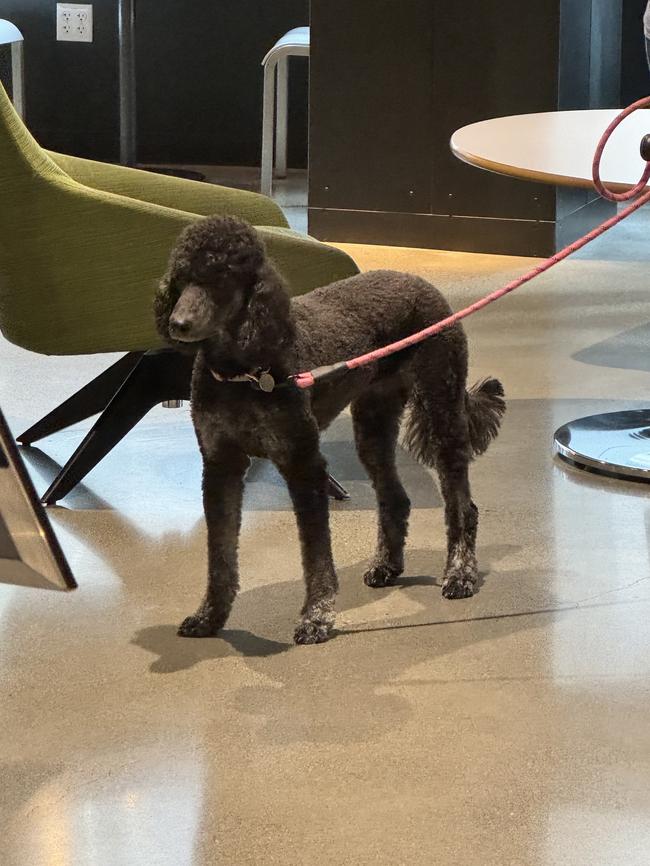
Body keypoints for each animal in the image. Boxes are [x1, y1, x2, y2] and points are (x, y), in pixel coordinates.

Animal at [154, 216, 504, 640]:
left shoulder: (303, 464)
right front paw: (210, 616)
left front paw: (316, 617)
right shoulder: (220, 466)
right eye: (182, 276)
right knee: (395, 497)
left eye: (221, 277)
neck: (244, 373)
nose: (178, 323)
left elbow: (315, 552)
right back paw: (387, 565)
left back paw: (460, 573)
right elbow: (219, 552)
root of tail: (420, 282)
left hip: (442, 409)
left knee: (461, 505)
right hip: (373, 424)